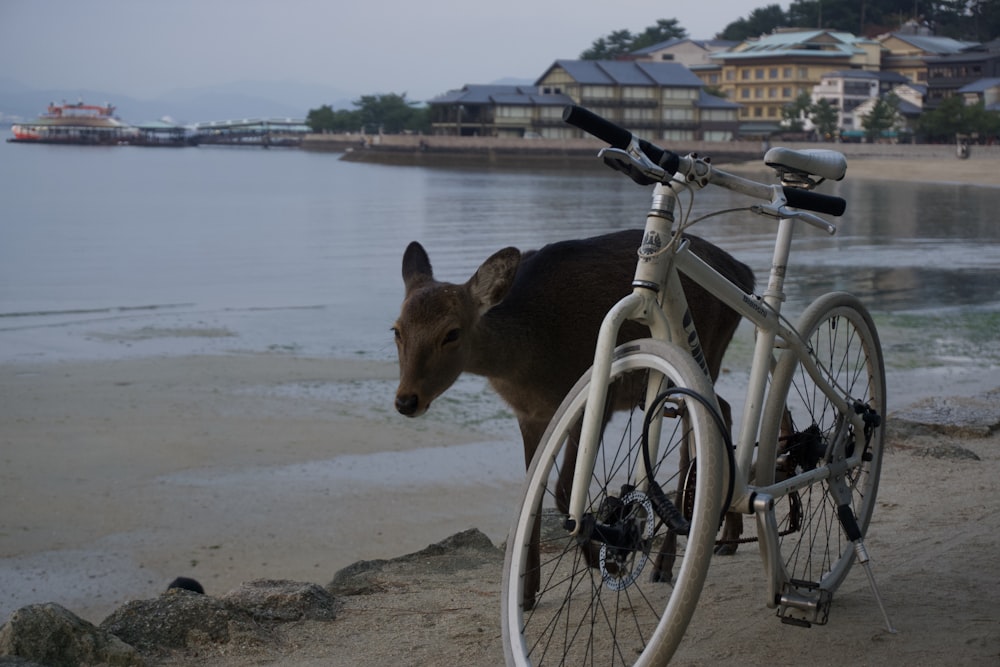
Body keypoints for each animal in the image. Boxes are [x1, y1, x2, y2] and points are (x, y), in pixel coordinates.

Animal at [390, 228, 752, 600]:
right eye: (397, 330)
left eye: (451, 333)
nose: (406, 400)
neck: (527, 360)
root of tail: (745, 273)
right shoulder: (529, 416)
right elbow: (533, 496)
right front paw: (527, 591)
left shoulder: (600, 399)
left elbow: (564, 491)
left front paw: (602, 560)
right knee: (723, 407)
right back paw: (728, 537)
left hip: (701, 351)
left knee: (695, 431)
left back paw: (666, 563)